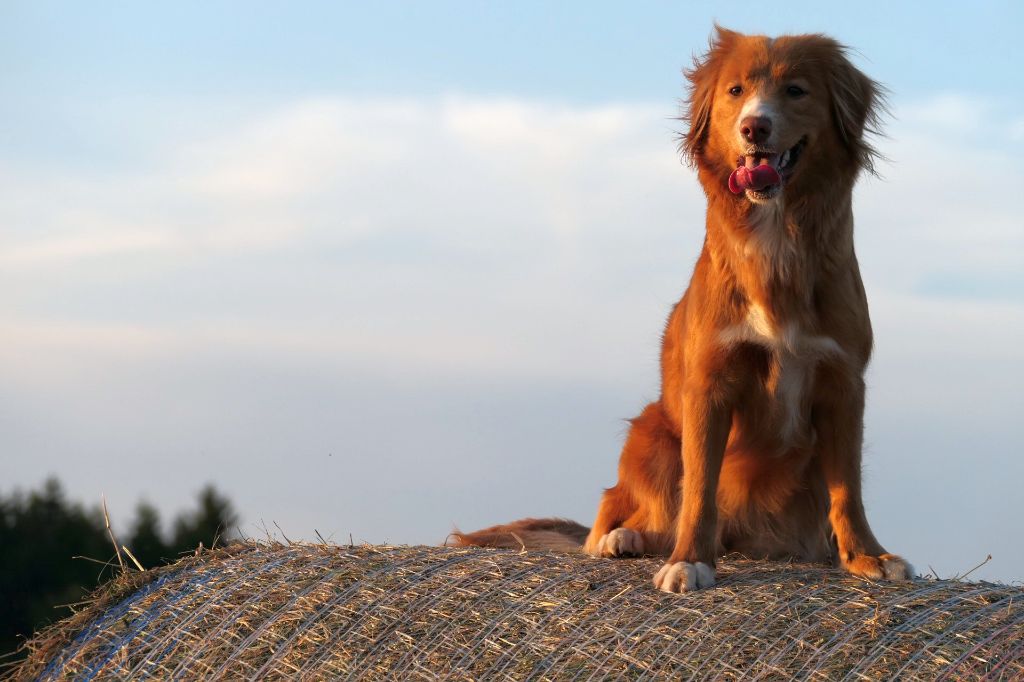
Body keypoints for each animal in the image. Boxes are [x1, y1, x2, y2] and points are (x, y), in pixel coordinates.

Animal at [454, 26, 913, 589]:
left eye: (796, 90)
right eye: (736, 91)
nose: (754, 127)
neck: (775, 241)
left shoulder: (843, 383)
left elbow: (847, 486)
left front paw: (868, 556)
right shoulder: (710, 384)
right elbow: (699, 488)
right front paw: (688, 560)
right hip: (649, 434)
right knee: (621, 510)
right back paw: (622, 539)